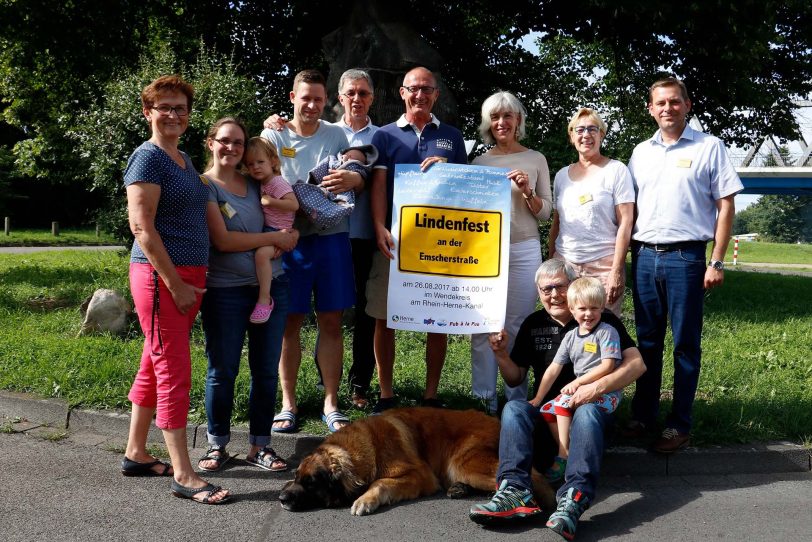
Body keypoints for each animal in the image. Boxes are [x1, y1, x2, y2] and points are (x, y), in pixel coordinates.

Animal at [276, 408, 556, 520]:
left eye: (311, 483)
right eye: (297, 477)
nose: (281, 498)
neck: (367, 447)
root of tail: (501, 422)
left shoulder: (419, 475)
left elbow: (380, 482)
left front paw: (364, 501)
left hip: (462, 462)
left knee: (530, 476)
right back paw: (460, 489)